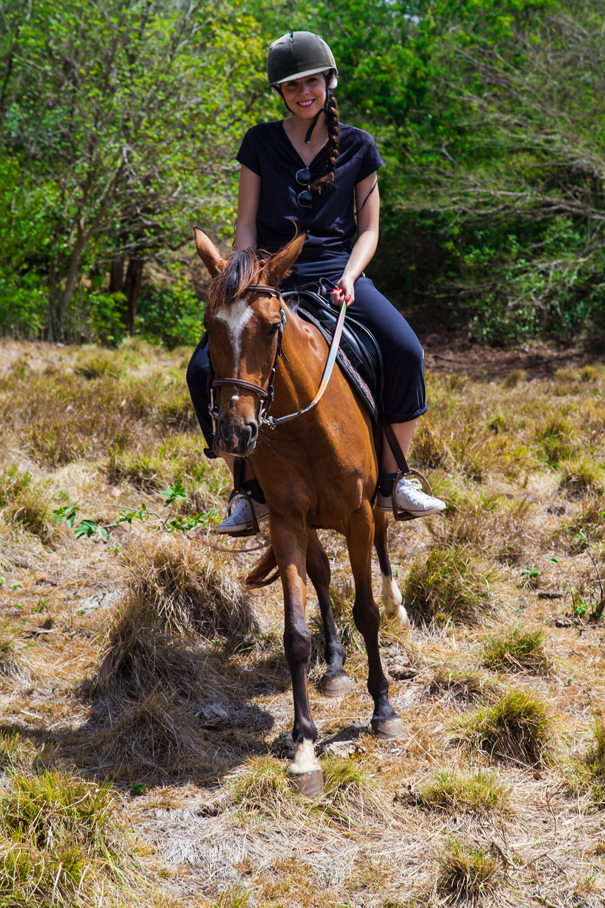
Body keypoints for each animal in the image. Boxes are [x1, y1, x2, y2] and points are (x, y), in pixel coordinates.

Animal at [196, 229, 408, 796]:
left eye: (272, 327)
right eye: (209, 327)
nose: (235, 433)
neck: (305, 425)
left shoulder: (357, 515)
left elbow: (366, 612)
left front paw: (383, 709)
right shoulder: (288, 520)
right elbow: (296, 634)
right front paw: (305, 747)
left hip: (374, 506)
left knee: (383, 546)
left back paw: (395, 601)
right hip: (308, 523)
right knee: (322, 574)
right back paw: (333, 667)